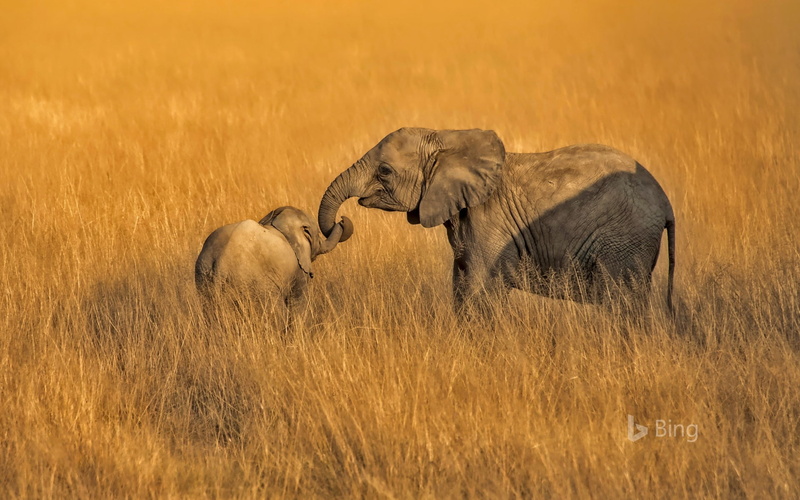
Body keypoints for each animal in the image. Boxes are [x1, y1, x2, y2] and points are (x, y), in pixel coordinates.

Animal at [195, 206, 353, 310]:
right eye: (316, 235)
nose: (342, 220)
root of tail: (221, 262)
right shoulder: (299, 270)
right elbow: (298, 303)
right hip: (255, 284)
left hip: (203, 275)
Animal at [318, 128, 675, 315]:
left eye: (385, 171)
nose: (342, 222)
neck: (447, 140)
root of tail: (665, 202)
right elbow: (461, 283)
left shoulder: (489, 222)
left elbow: (479, 289)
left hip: (624, 239)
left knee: (621, 304)